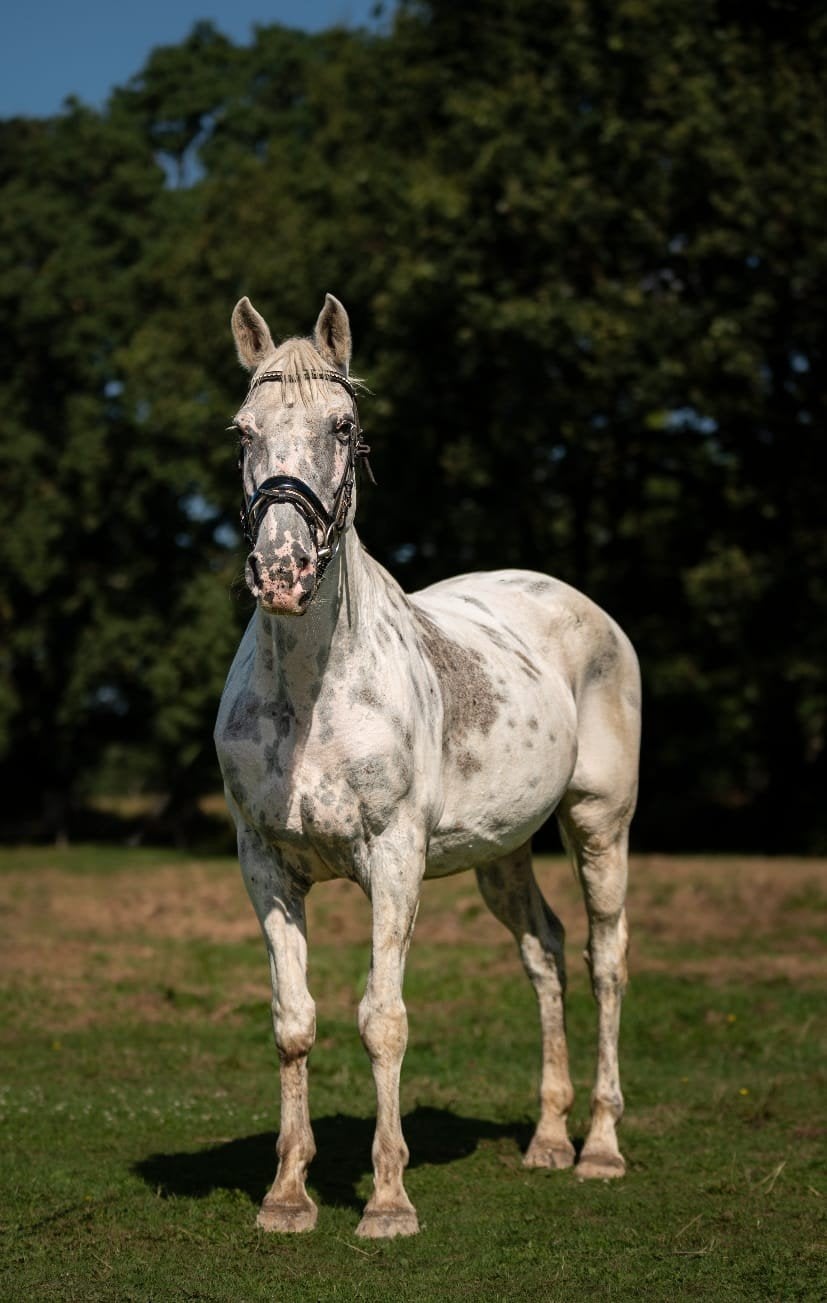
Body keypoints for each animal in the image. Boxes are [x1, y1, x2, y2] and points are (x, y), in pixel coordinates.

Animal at [214, 294, 641, 1238]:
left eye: (343, 427)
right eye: (241, 431)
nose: (281, 572)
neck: (313, 695)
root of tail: (577, 604)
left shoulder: (394, 859)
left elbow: (383, 1019)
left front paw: (387, 1201)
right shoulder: (265, 866)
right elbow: (293, 1020)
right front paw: (287, 1196)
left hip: (598, 824)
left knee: (603, 959)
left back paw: (598, 1148)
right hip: (501, 852)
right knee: (543, 952)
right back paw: (547, 1139)